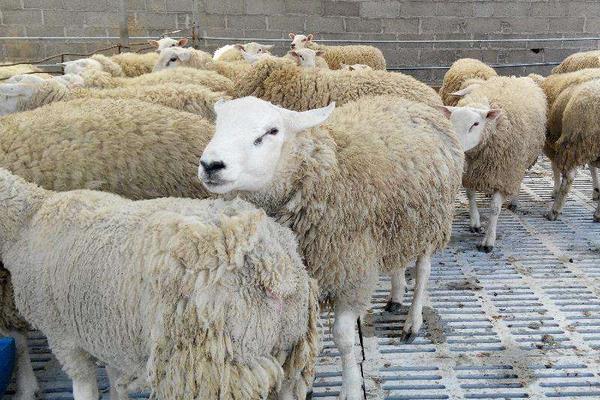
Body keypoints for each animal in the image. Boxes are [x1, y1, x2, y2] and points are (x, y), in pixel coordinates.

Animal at [0, 169, 322, 400]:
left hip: (211, 366)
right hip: (290, 353)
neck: (27, 221)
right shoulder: (104, 328)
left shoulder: (63, 336)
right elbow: (114, 380)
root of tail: (272, 266)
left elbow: (85, 388)